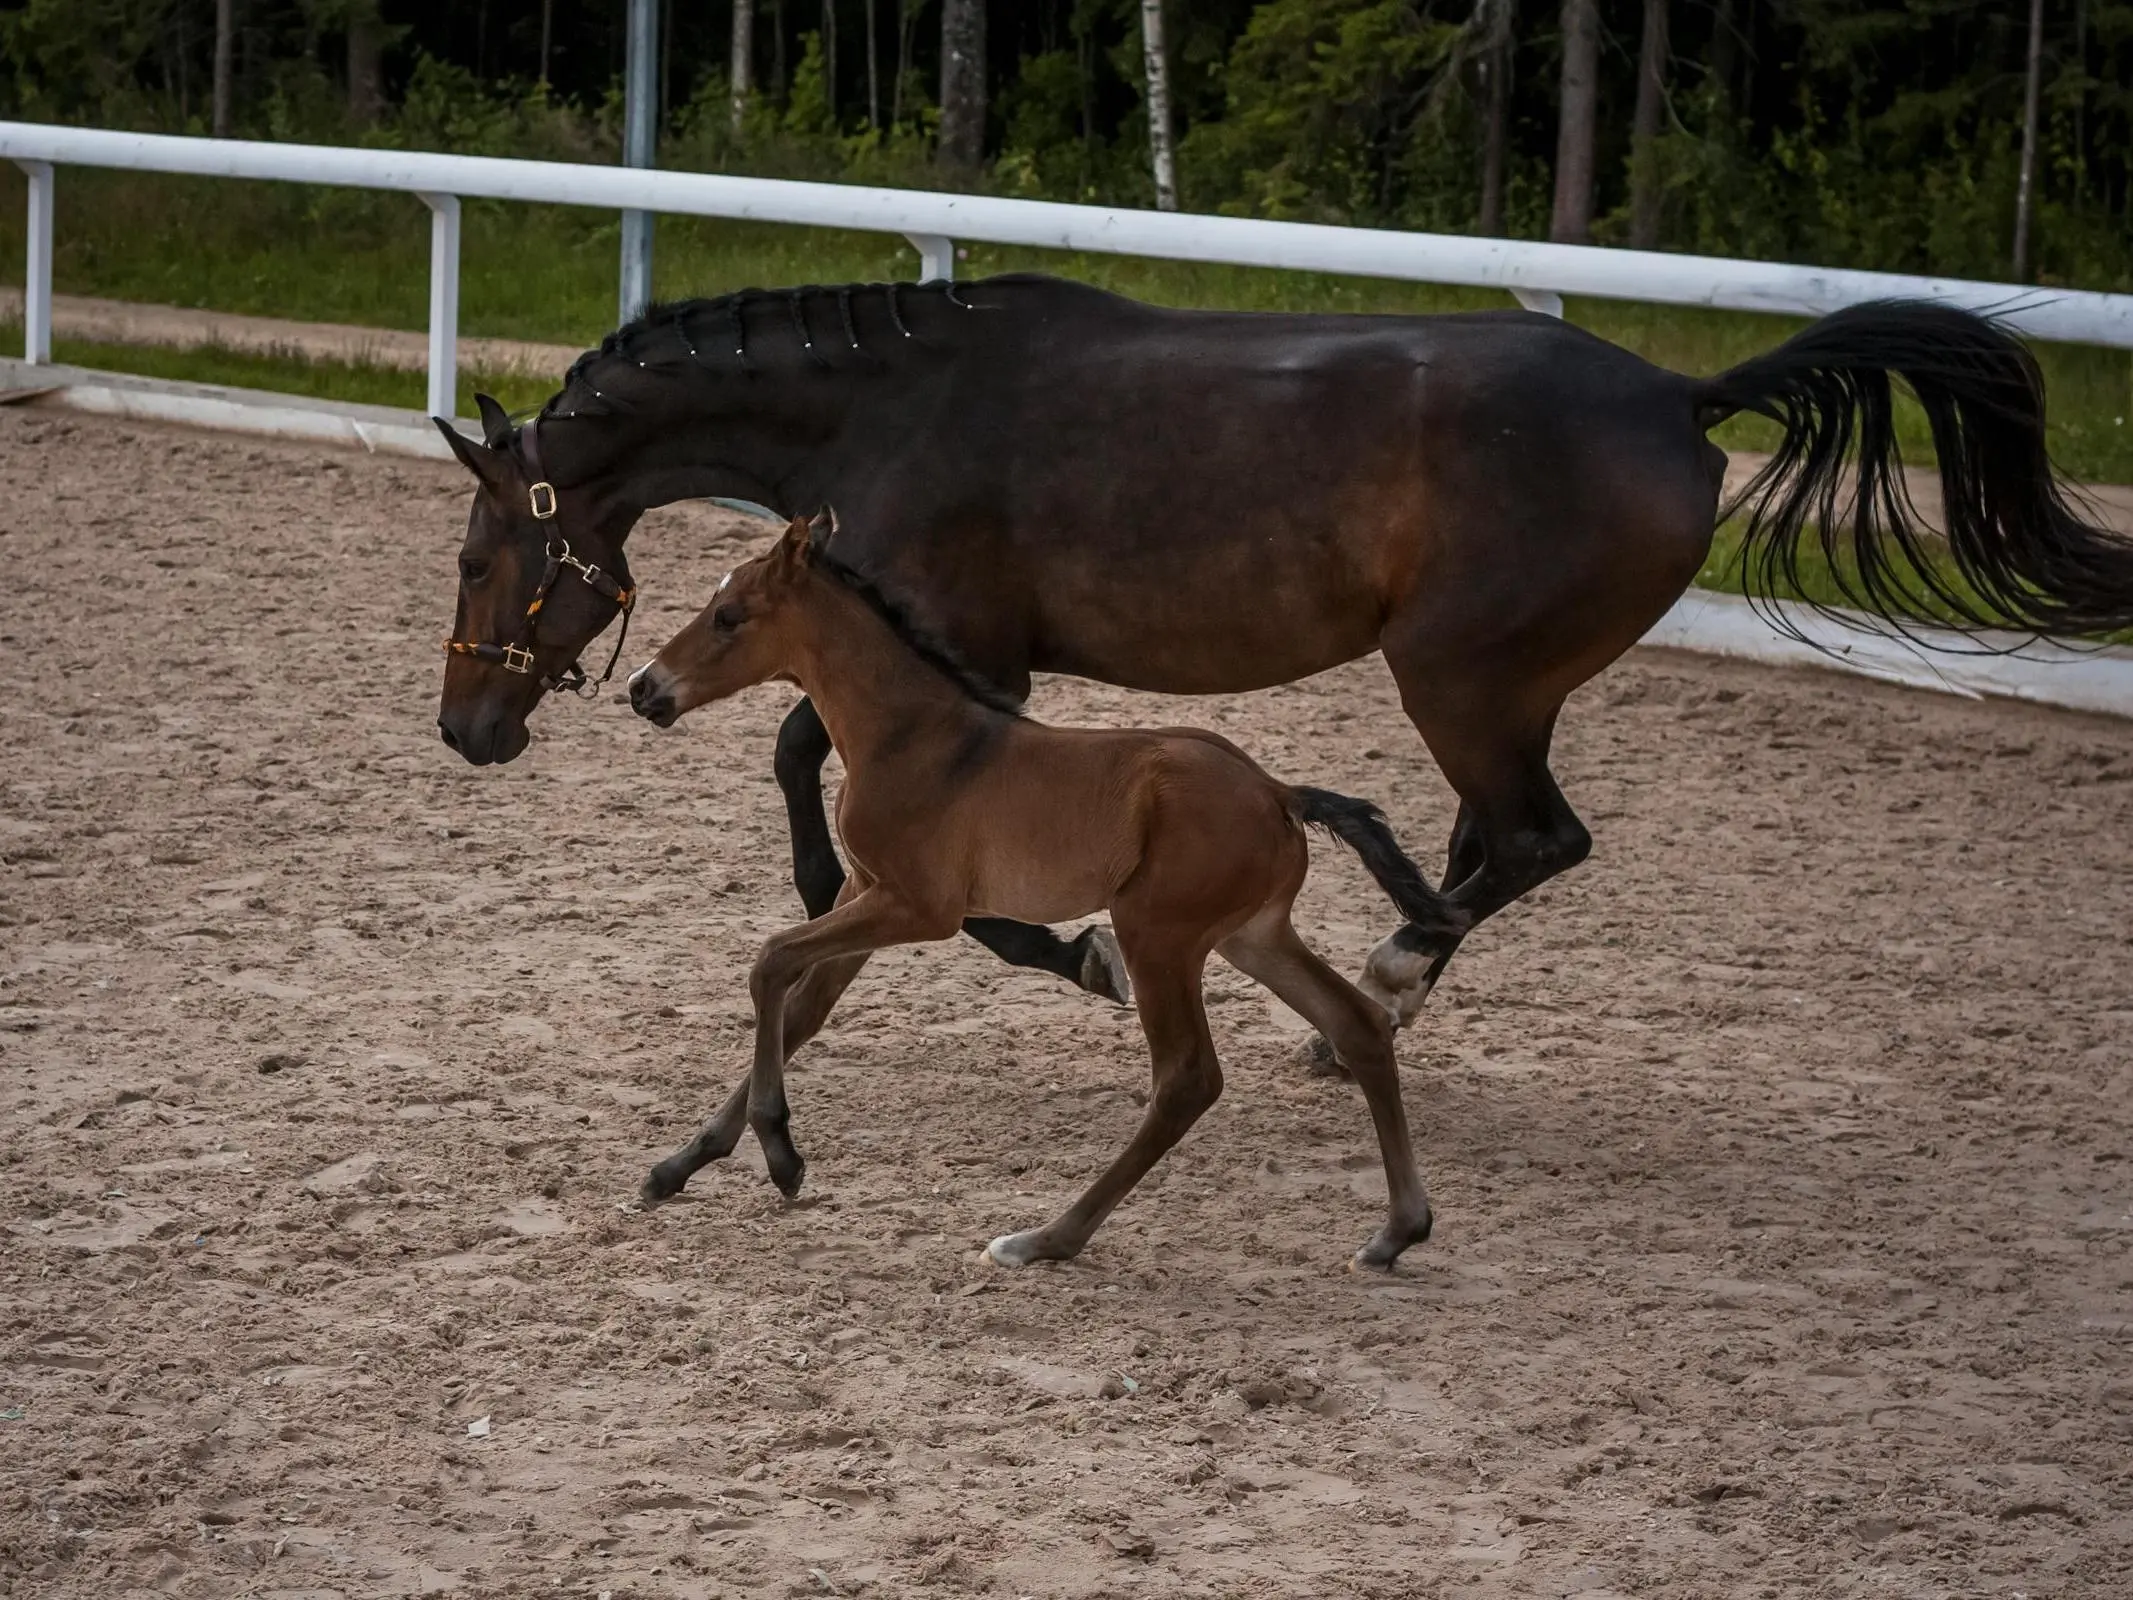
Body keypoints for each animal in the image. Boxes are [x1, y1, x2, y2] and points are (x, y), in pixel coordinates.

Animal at [622, 514, 1476, 1280]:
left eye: (729, 616)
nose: (642, 688)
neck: (912, 735)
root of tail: (1277, 792)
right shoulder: (868, 895)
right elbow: (801, 1011)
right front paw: (678, 1166)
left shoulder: (918, 908)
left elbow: (769, 962)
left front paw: (780, 1153)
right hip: (1252, 936)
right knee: (1356, 1025)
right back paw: (1396, 1232)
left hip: (1156, 933)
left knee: (1187, 1080)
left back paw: (1044, 1240)